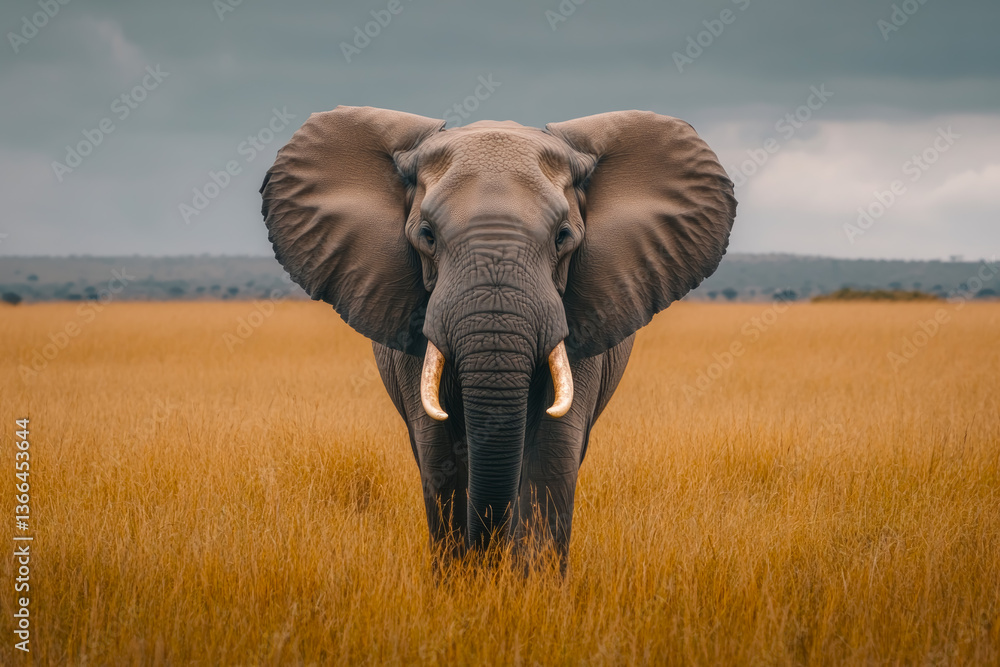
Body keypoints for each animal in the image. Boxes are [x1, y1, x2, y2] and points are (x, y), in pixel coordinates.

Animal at [260, 106, 736, 565]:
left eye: (563, 236)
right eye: (426, 236)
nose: (489, 552)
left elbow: (552, 453)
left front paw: (529, 585)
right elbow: (439, 455)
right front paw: (463, 580)